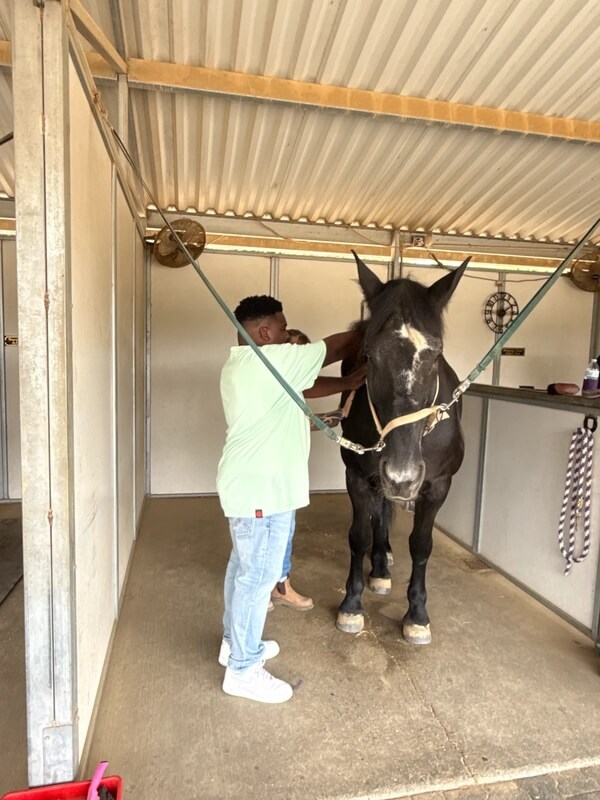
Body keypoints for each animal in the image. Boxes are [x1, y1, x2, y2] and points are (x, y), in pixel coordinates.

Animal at [336, 250, 470, 645]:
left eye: (435, 355)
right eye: (369, 355)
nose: (402, 474)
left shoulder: (438, 486)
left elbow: (421, 545)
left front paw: (417, 615)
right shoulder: (357, 476)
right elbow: (360, 535)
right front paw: (352, 605)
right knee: (380, 516)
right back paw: (379, 569)